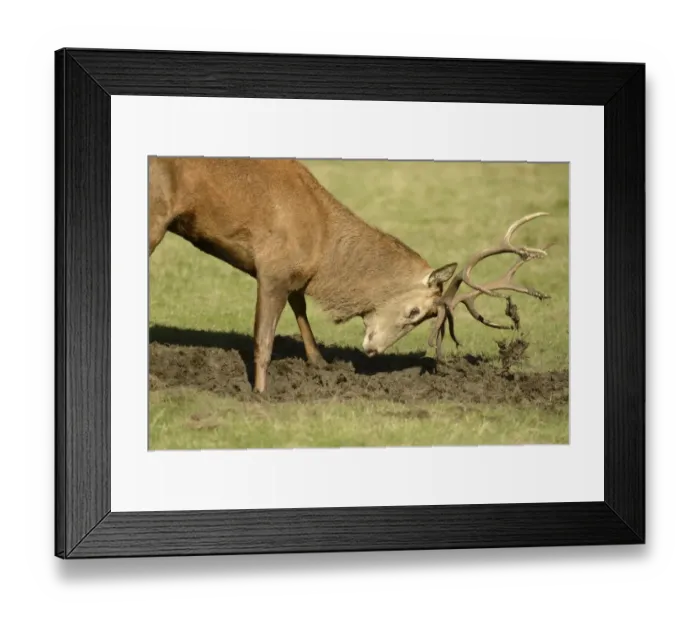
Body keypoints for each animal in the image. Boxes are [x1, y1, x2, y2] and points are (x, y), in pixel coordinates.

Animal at [148, 156, 553, 393]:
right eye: (414, 313)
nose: (373, 351)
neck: (322, 243)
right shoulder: (273, 267)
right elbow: (263, 341)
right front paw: (261, 393)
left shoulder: (294, 275)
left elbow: (302, 311)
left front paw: (320, 364)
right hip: (156, 215)